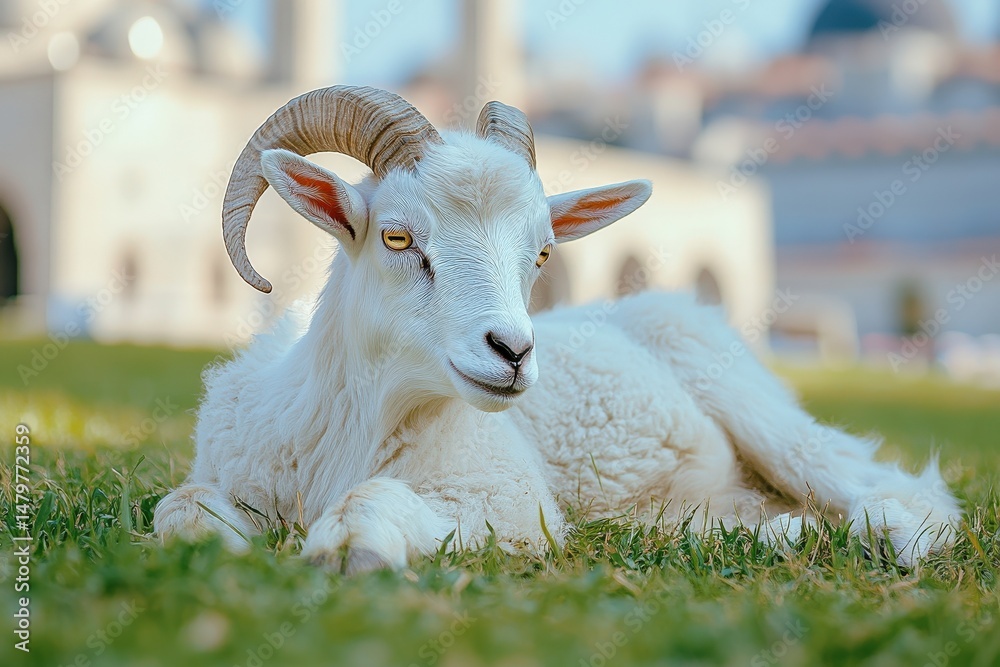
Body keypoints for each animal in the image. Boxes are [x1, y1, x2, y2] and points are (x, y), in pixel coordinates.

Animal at [154, 86, 960, 571]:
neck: (344, 432)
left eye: (541, 252)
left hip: (761, 412)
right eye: (395, 236)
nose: (512, 351)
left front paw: (350, 545)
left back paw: (891, 535)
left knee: (887, 484)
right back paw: (780, 531)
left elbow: (376, 503)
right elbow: (179, 509)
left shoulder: (510, 505)